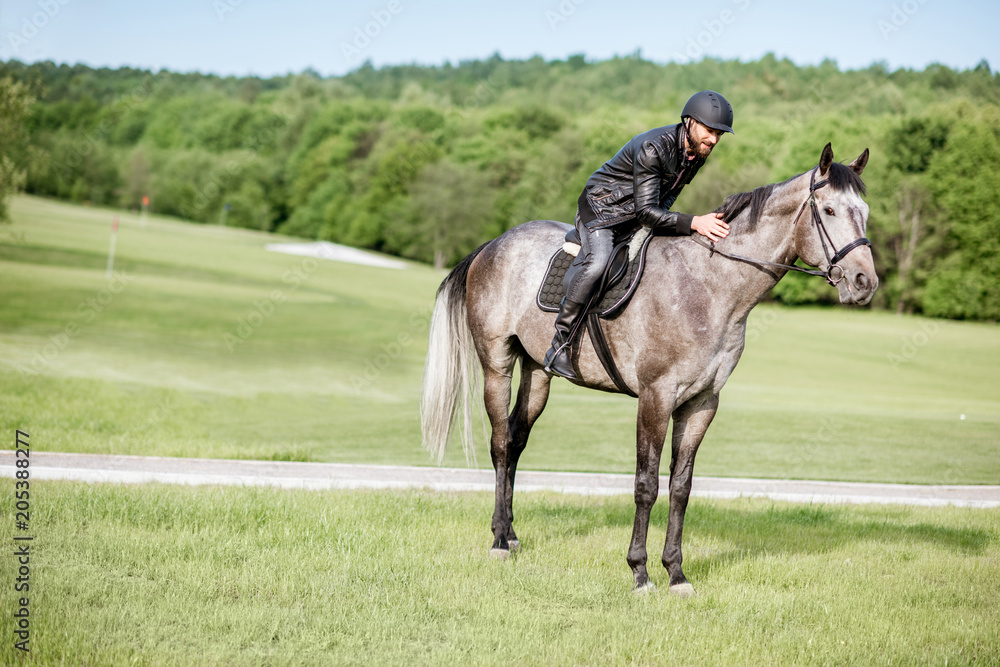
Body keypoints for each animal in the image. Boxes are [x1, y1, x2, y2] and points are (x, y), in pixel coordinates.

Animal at [420, 145, 876, 596]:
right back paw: (499, 539)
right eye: (830, 210)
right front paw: (639, 572)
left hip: (538, 374)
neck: (709, 286)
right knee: (500, 443)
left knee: (515, 440)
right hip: (497, 364)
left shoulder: (701, 404)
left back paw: (512, 534)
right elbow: (646, 484)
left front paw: (676, 573)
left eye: (865, 211)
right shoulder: (656, 398)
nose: (864, 282)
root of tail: (494, 243)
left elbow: (680, 487)